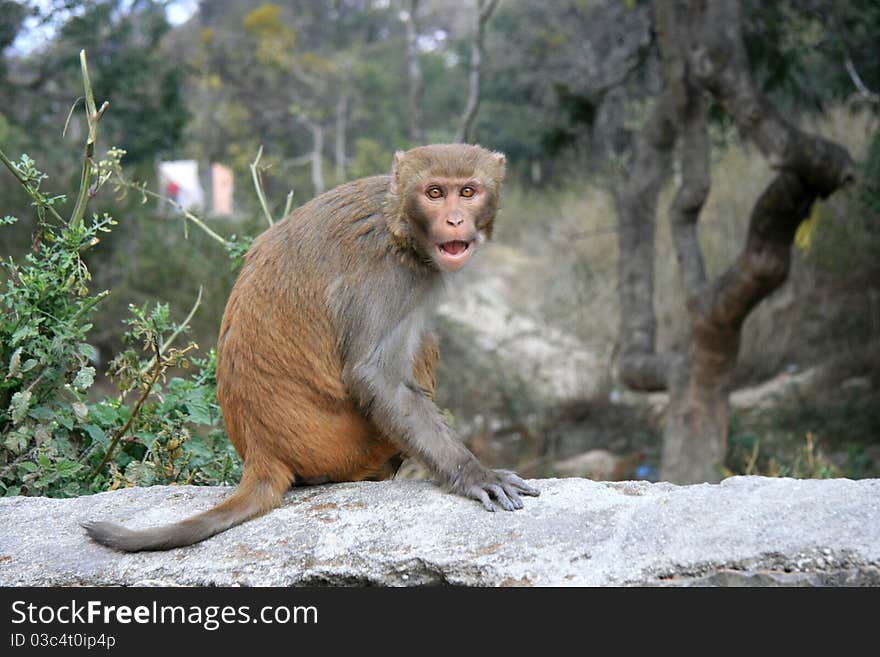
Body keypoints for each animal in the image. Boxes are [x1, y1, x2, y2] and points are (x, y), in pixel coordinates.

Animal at [84, 145, 536, 552]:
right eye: (435, 193)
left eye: (468, 191)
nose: (454, 219)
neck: (398, 220)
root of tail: (261, 452)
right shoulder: (388, 277)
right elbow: (375, 376)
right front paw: (474, 474)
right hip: (344, 449)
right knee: (424, 344)